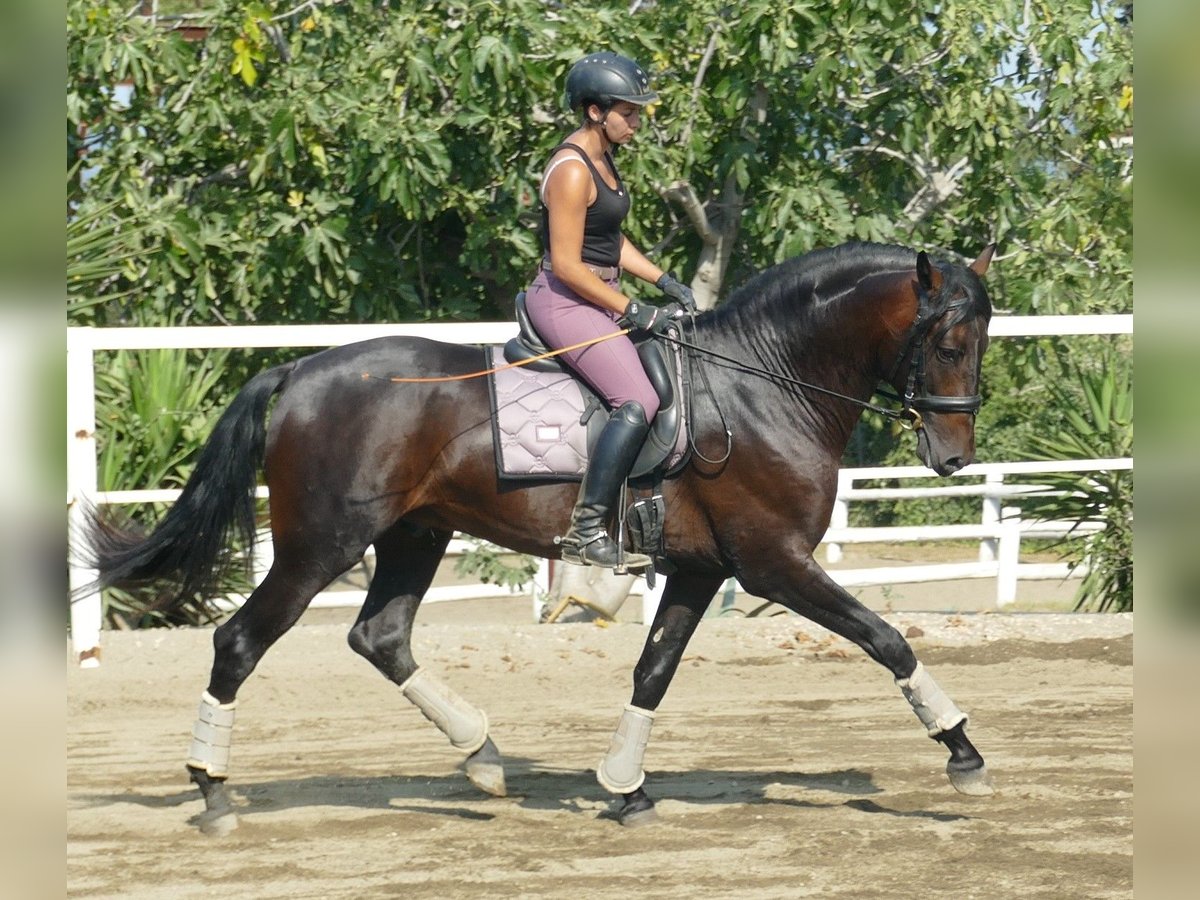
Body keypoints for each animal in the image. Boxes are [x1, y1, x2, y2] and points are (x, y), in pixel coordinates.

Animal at [88, 237, 998, 830]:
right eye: (950, 341)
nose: (954, 455)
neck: (763, 383)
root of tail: (300, 369)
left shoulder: (703, 569)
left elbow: (654, 670)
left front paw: (626, 787)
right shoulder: (774, 563)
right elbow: (886, 637)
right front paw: (961, 750)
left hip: (414, 536)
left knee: (380, 636)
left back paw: (483, 757)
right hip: (322, 545)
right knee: (240, 641)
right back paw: (211, 789)